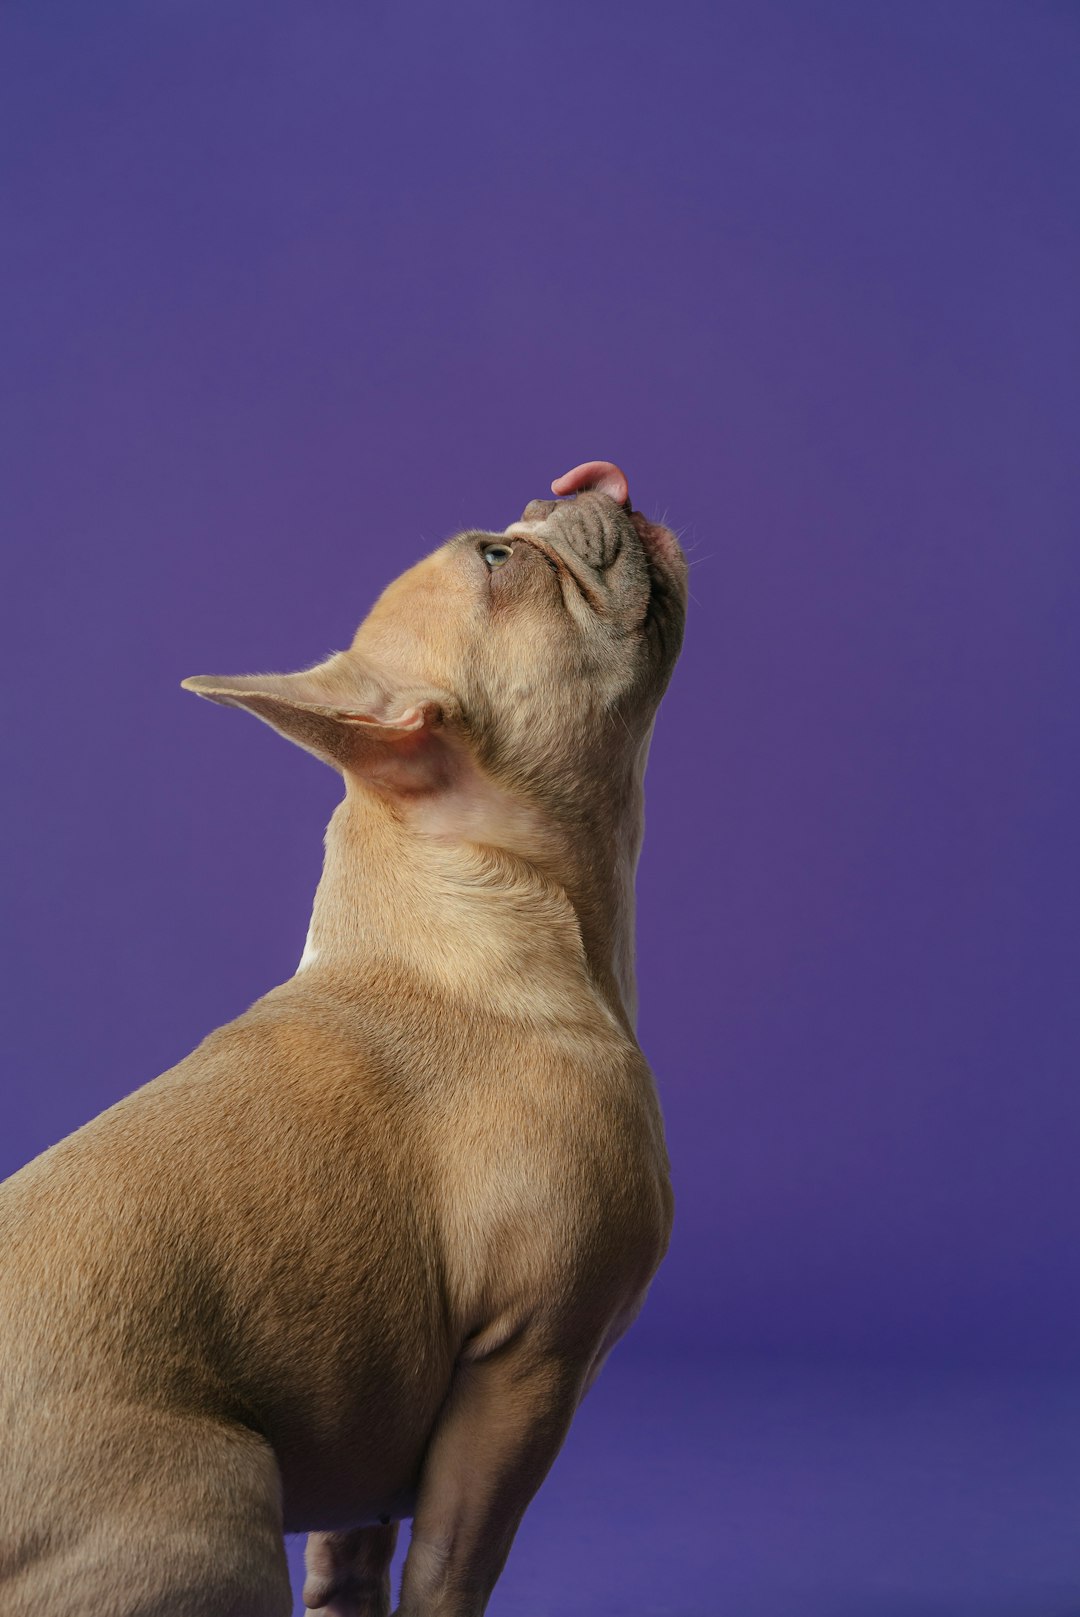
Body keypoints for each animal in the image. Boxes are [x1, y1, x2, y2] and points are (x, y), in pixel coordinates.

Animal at [0, 462, 688, 1610]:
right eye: (501, 558)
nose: (577, 481)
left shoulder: (372, 1432)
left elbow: (352, 1563)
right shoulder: (524, 1373)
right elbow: (451, 1570)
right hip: (219, 1493)